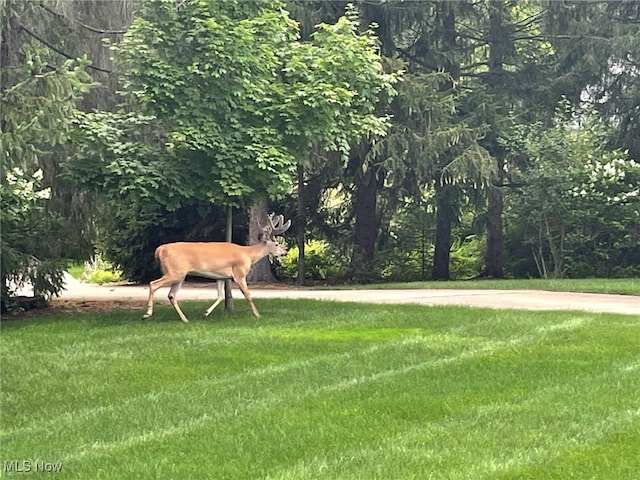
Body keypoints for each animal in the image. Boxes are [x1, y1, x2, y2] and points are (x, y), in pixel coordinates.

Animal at [144, 214, 292, 322]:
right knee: (153, 284)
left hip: (179, 274)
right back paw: (147, 313)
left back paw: (185, 319)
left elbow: (221, 296)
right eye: (277, 244)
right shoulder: (239, 273)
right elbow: (248, 295)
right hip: (175, 271)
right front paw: (257, 315)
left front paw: (206, 312)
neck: (249, 255)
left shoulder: (221, 277)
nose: (285, 253)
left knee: (171, 295)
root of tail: (160, 250)